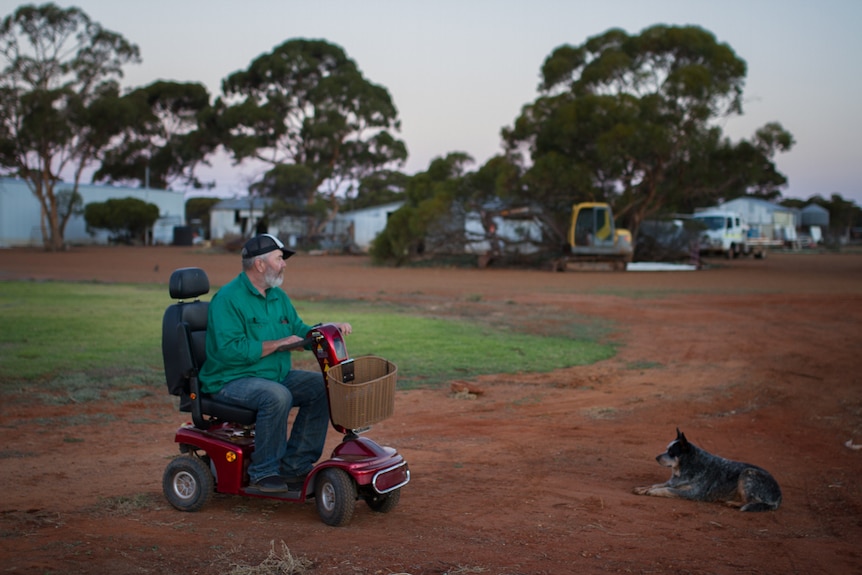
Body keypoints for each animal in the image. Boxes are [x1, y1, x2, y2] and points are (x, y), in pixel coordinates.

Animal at [636, 428, 784, 512]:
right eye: (666, 449)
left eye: (672, 453)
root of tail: (779, 495)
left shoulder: (693, 493)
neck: (688, 467)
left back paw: (732, 503)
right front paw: (642, 488)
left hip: (747, 473)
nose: (656, 457)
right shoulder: (673, 482)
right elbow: (656, 484)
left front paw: (653, 492)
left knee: (751, 502)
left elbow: (666, 489)